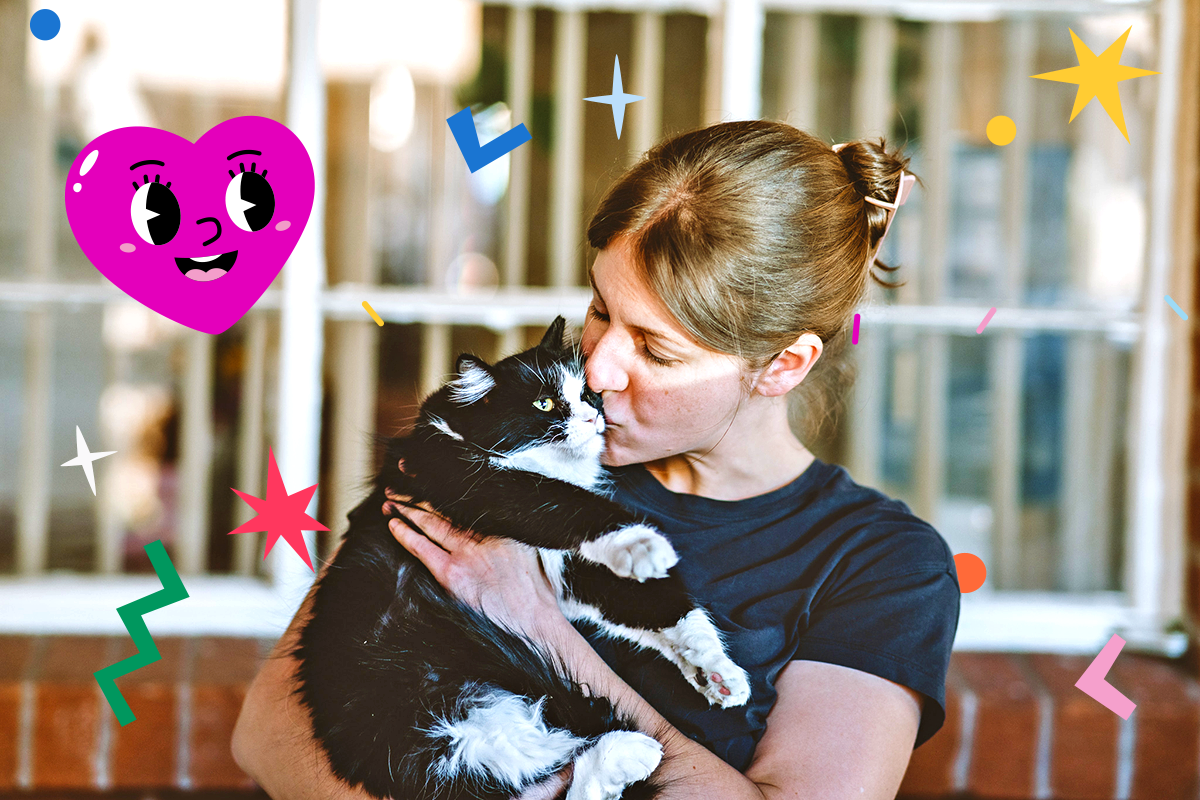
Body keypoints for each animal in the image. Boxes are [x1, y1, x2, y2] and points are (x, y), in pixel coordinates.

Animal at [292, 316, 739, 800]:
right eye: (545, 403)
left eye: (588, 393)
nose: (593, 415)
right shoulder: (478, 482)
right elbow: (568, 503)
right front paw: (644, 545)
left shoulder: (567, 574)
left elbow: (660, 608)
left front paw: (718, 673)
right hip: (408, 729)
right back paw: (629, 751)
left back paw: (626, 753)